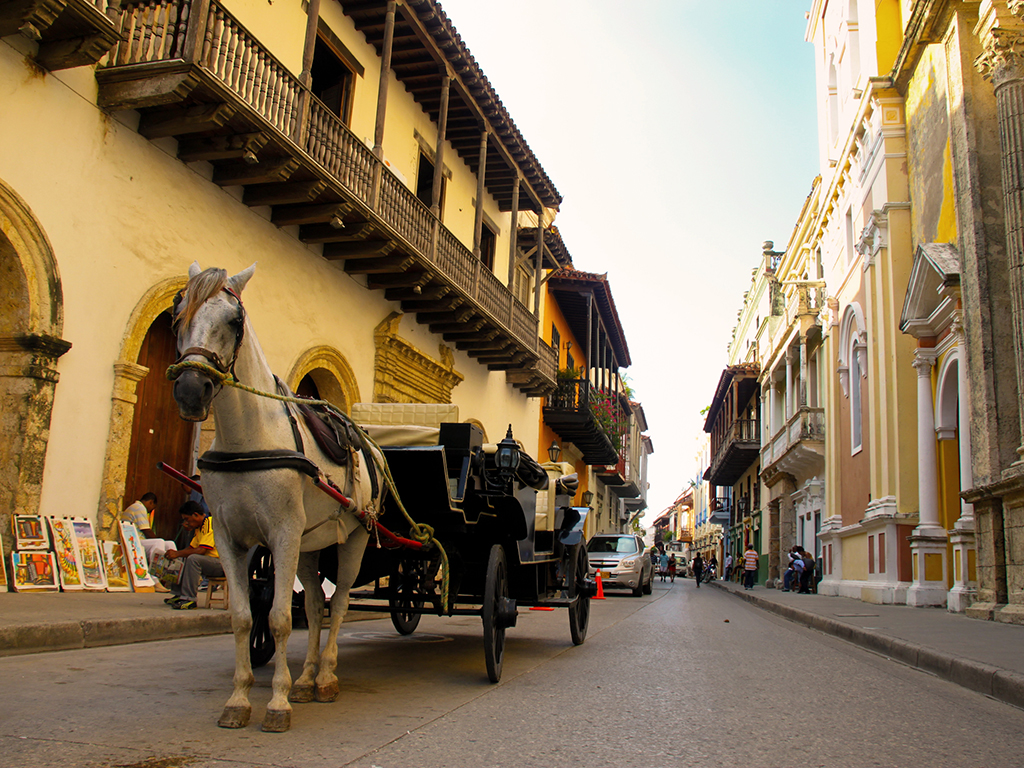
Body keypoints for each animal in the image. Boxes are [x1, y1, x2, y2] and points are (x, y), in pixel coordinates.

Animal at [168, 262, 383, 732]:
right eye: (178, 314)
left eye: (236, 320)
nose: (191, 390)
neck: (249, 437)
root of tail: (370, 444)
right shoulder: (232, 538)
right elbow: (244, 618)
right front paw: (240, 698)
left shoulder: (283, 533)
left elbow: (281, 618)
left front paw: (278, 702)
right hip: (311, 542)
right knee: (318, 607)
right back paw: (306, 678)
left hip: (355, 537)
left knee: (340, 603)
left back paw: (326, 676)